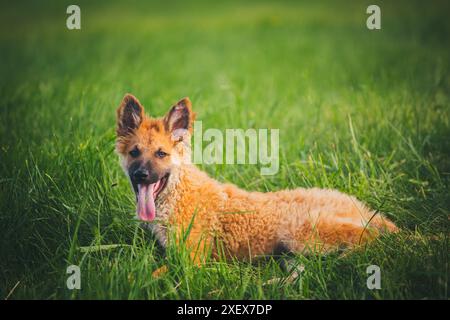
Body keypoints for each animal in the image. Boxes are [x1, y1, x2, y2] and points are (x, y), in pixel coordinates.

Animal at [115, 94, 398, 270]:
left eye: (161, 154)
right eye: (135, 153)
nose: (141, 175)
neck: (178, 193)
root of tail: (360, 207)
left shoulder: (190, 262)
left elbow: (155, 274)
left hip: (302, 233)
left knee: (370, 237)